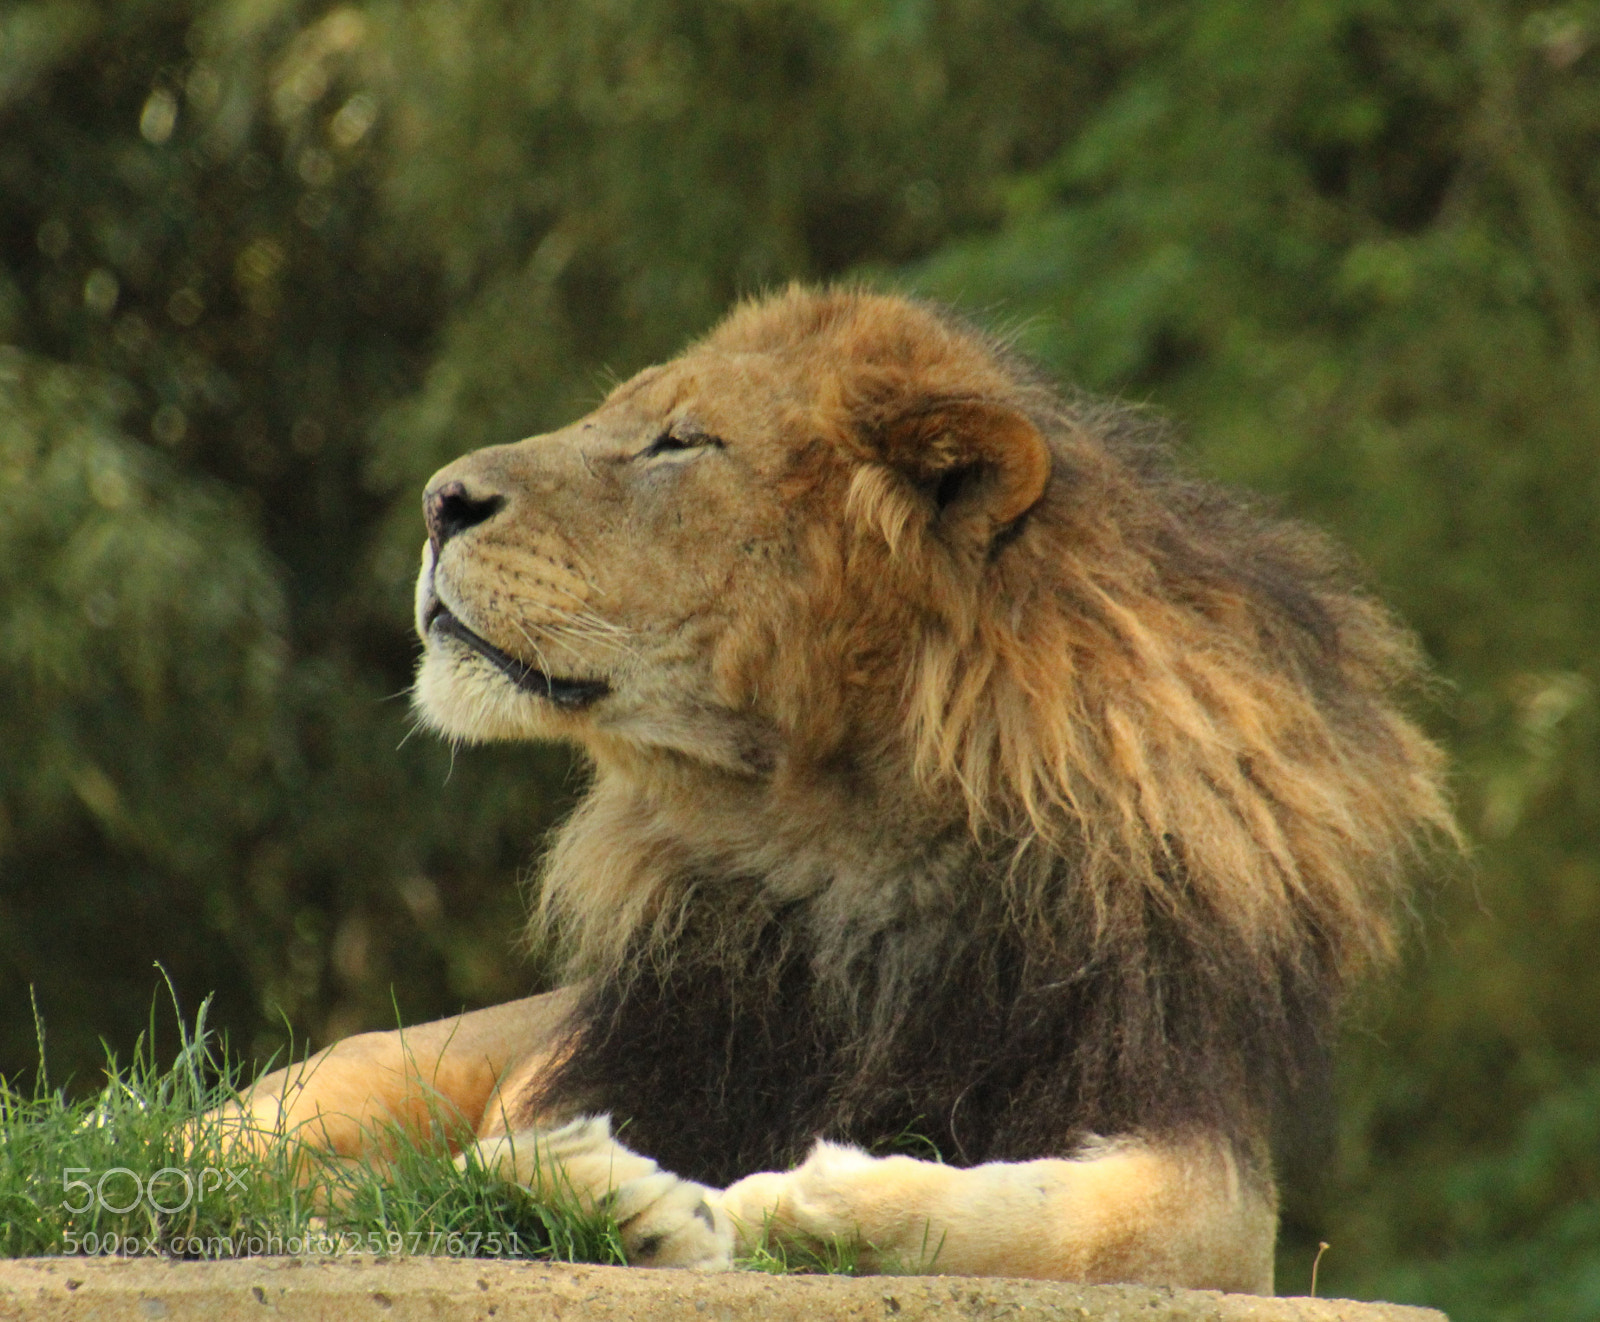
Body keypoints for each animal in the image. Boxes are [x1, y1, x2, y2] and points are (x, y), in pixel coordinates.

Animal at [235, 286, 1455, 1292]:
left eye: (679, 441)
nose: (438, 501)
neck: (839, 844)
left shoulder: (1187, 1129)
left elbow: (1116, 1226)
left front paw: (817, 1201)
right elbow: (467, 1170)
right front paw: (615, 1193)